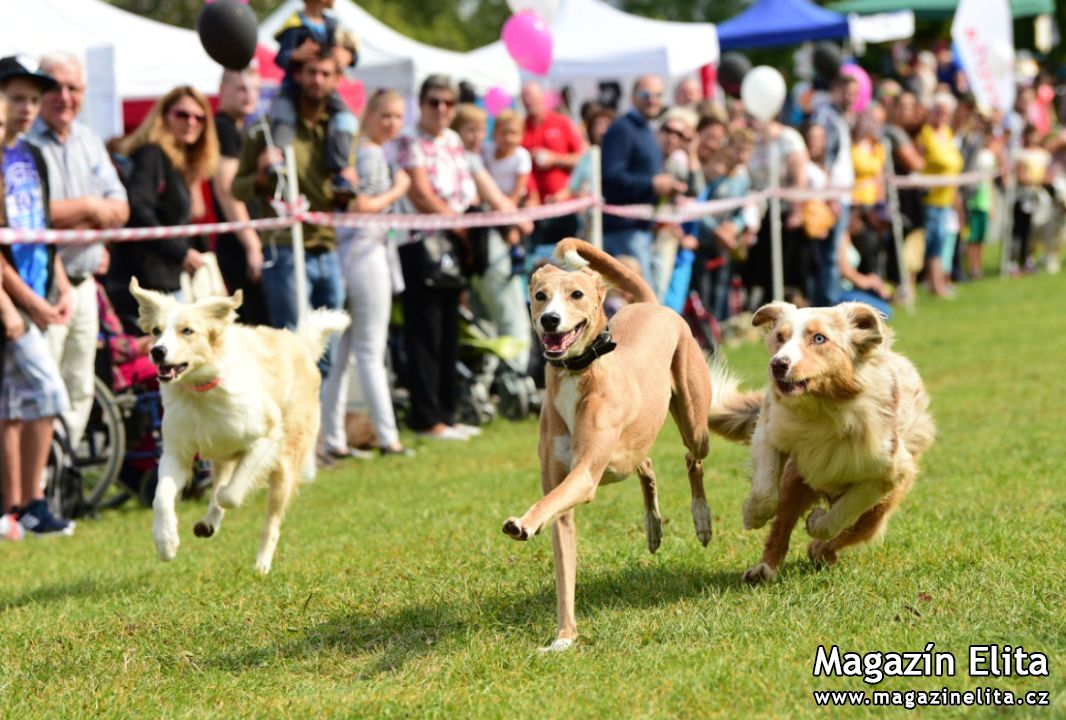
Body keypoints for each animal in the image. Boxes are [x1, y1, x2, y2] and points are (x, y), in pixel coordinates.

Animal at [127, 279, 347, 576]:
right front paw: (166, 542)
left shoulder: (266, 438)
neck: (202, 392)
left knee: (270, 521)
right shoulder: (177, 452)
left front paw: (223, 500)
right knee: (221, 480)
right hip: (222, 453)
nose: (157, 351)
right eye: (156, 331)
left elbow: (230, 494)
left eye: (187, 331)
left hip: (285, 461)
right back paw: (208, 523)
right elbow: (161, 497)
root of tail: (301, 344)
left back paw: (262, 563)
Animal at [503, 237, 712, 652]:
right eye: (540, 295)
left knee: (691, 459)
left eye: (576, 294)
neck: (578, 372)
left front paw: (523, 523)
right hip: (627, 455)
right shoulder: (562, 489)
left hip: (695, 423)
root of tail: (652, 303)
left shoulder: (583, 475)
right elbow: (563, 567)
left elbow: (547, 503)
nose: (550, 320)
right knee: (645, 465)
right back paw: (653, 526)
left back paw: (702, 519)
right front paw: (564, 638)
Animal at [707, 300, 933, 584]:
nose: (778, 365)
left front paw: (816, 522)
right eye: (780, 337)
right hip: (796, 478)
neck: (822, 407)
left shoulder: (889, 471)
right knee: (782, 524)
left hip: (879, 509)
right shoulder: (770, 431)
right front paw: (752, 515)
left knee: (854, 530)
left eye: (818, 338)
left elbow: (842, 513)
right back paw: (764, 569)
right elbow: (765, 491)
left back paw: (820, 551)